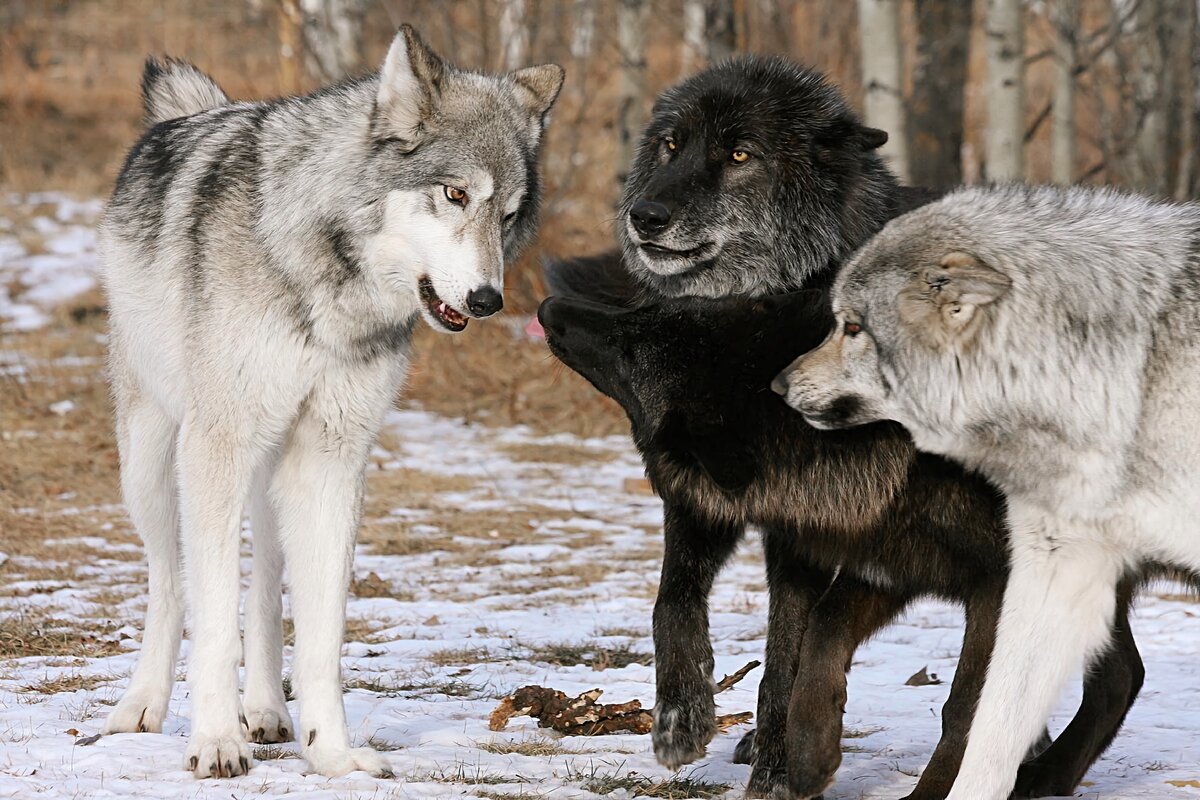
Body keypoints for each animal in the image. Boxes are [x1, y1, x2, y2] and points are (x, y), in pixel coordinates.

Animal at [98, 23, 561, 777]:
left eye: (511, 215)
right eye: (455, 194)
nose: (488, 300)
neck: (328, 276)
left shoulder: (332, 457)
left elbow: (321, 635)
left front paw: (332, 755)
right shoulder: (218, 445)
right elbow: (212, 619)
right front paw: (216, 742)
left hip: (270, 471)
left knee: (264, 587)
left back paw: (265, 712)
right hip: (154, 464)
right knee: (170, 581)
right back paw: (144, 707)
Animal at [542, 284, 1142, 796]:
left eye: (630, 354)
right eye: (648, 312)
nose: (549, 308)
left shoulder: (998, 584)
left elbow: (965, 708)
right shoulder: (885, 562)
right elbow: (811, 640)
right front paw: (802, 755)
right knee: (1123, 675)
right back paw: (1045, 776)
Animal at [777, 184, 1200, 800]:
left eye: (852, 327)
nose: (778, 384)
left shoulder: (1000, 576)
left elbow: (967, 709)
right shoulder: (1038, 566)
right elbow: (989, 728)